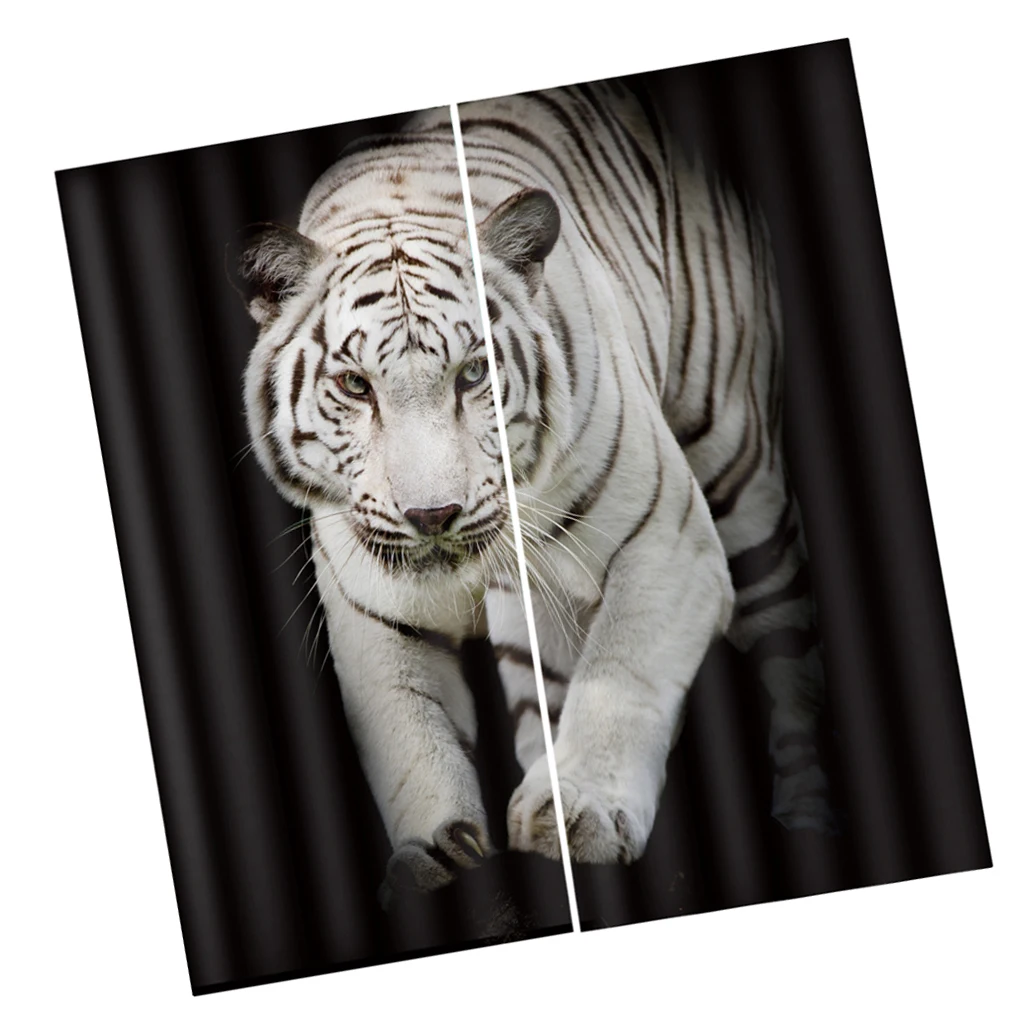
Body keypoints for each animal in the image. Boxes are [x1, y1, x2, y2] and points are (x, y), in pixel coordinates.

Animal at [237, 82, 836, 904]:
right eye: (357, 386)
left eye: (473, 374)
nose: (434, 515)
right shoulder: (372, 604)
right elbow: (409, 729)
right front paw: (435, 853)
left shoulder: (669, 540)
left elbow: (620, 672)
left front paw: (582, 814)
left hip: (742, 479)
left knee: (790, 648)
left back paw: (807, 815)